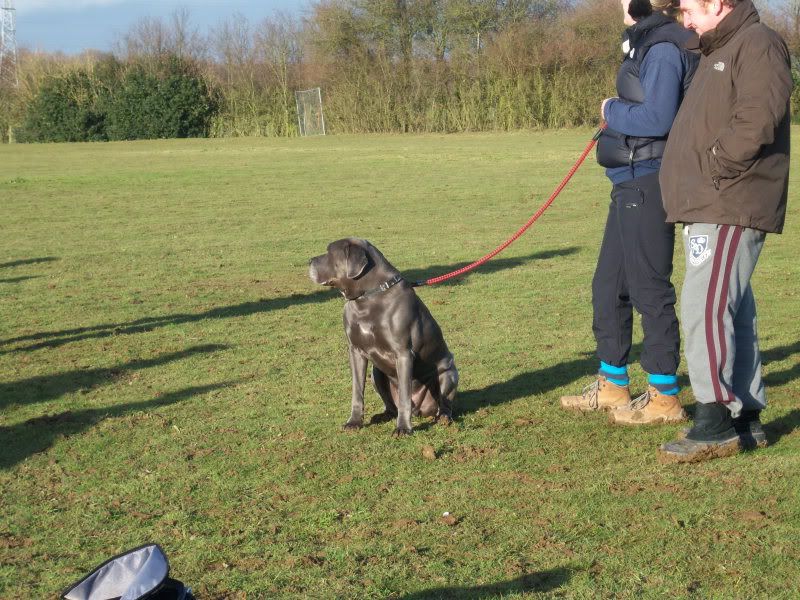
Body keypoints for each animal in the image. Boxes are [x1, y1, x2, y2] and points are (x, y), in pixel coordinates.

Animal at [310, 238, 460, 436]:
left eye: (329, 252)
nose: (309, 261)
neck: (367, 298)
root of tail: (418, 410)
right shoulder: (355, 351)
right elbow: (357, 390)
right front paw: (354, 422)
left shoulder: (403, 353)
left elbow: (404, 396)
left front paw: (403, 428)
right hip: (377, 374)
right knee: (390, 405)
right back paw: (383, 415)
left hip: (449, 374)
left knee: (444, 403)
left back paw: (443, 418)